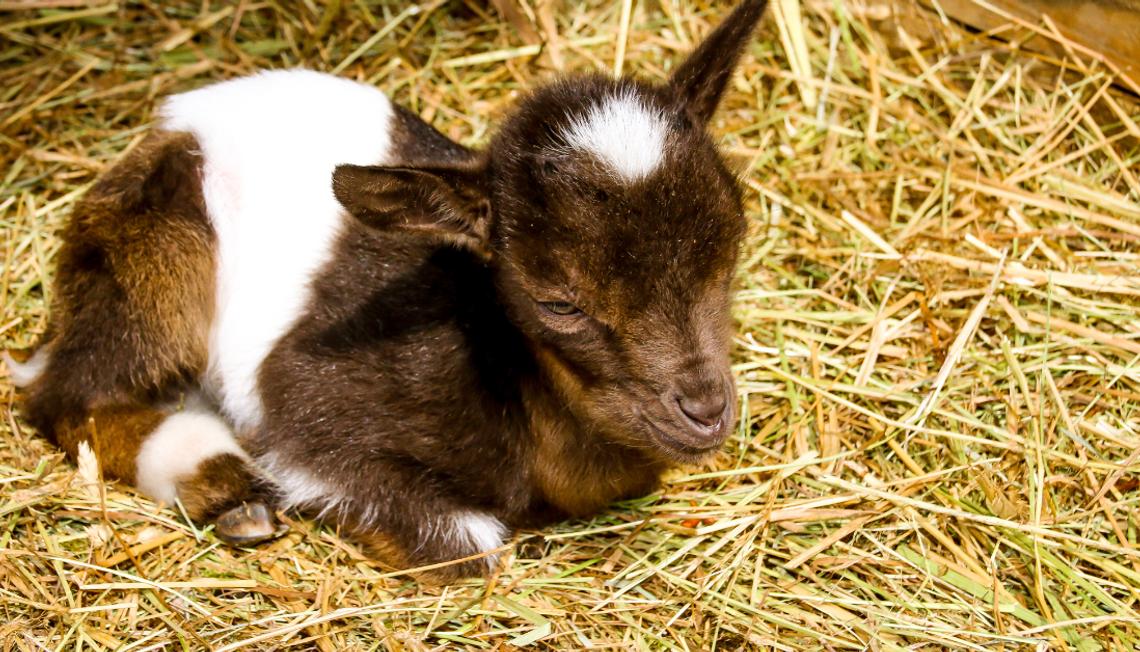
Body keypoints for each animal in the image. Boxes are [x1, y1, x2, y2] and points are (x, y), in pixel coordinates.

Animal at [6, 0, 766, 581]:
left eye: (732, 242)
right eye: (559, 301)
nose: (705, 411)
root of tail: (170, 123)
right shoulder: (305, 407)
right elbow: (470, 547)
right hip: (157, 243)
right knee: (64, 388)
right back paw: (215, 477)